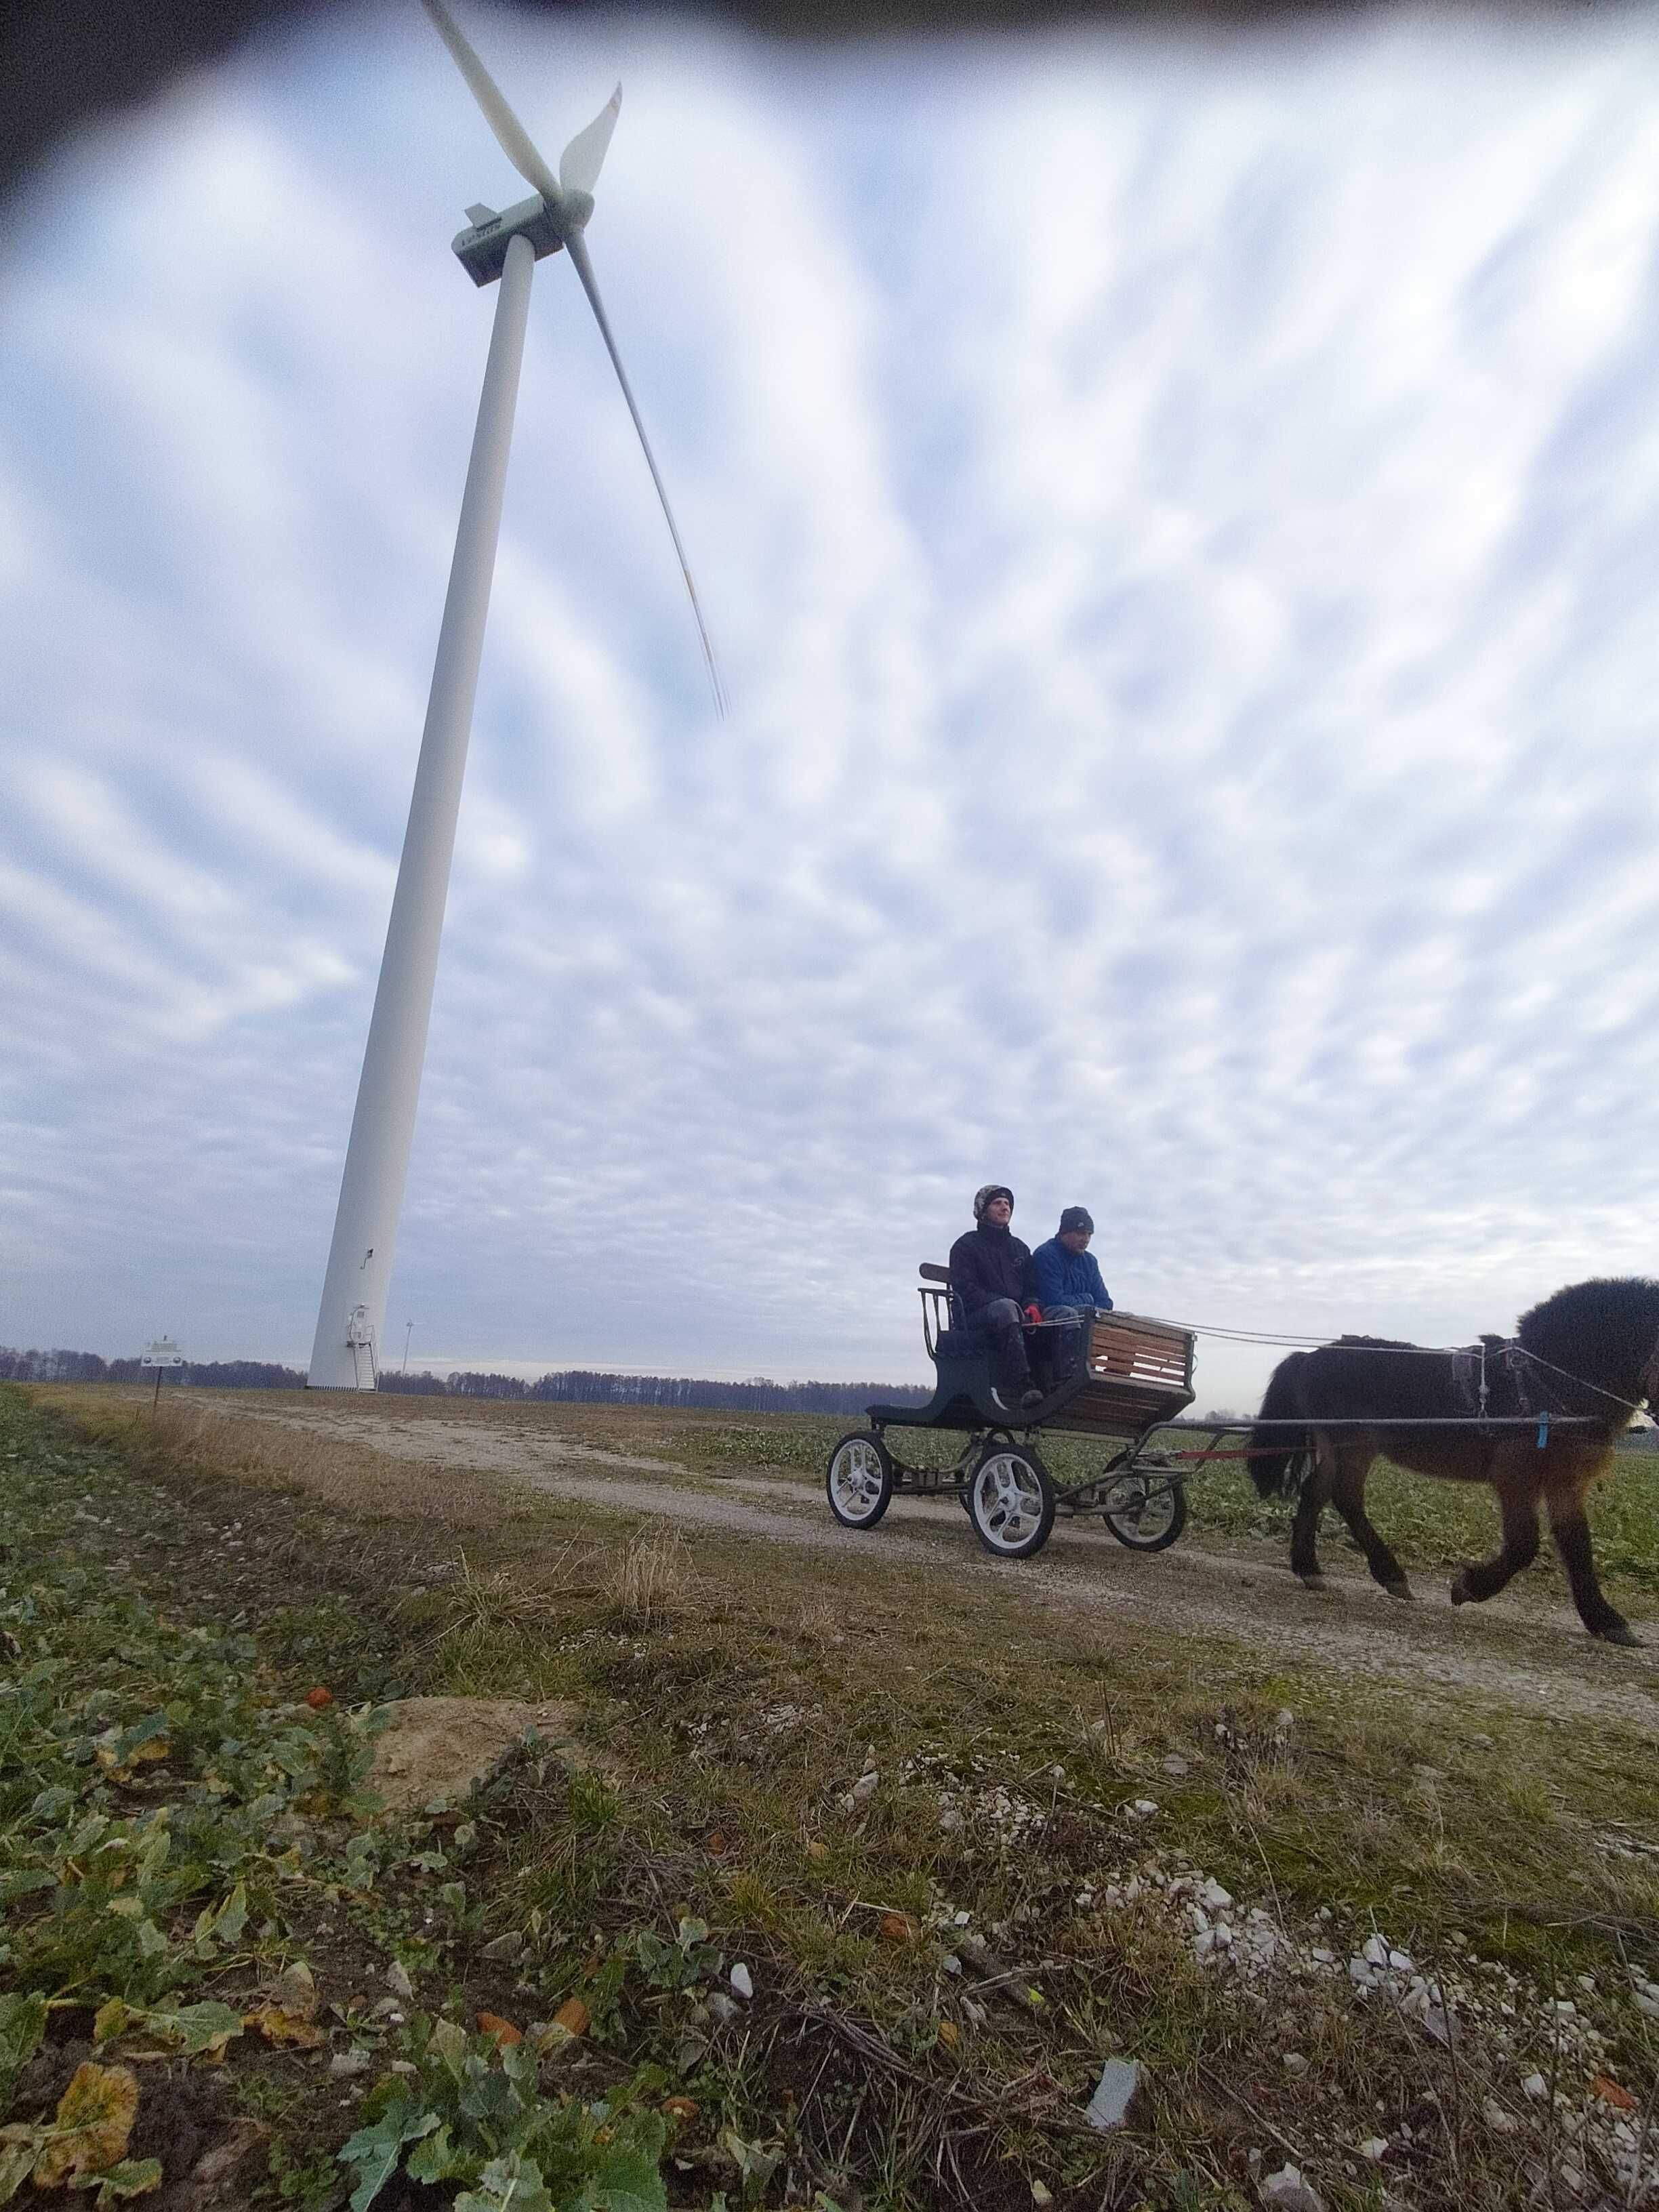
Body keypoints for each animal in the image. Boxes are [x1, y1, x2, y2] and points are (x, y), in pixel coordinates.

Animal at [1256, 1283, 1654, 1645]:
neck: (1547, 1379)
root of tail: (1309, 1357)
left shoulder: (1567, 1481)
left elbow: (1577, 1544)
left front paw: (1604, 1619)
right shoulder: (1516, 1473)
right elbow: (1524, 1544)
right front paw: (1471, 1586)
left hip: (1347, 1446)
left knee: (1320, 1492)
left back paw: (1315, 1568)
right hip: (1351, 1444)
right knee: (1342, 1496)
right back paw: (1382, 1573)